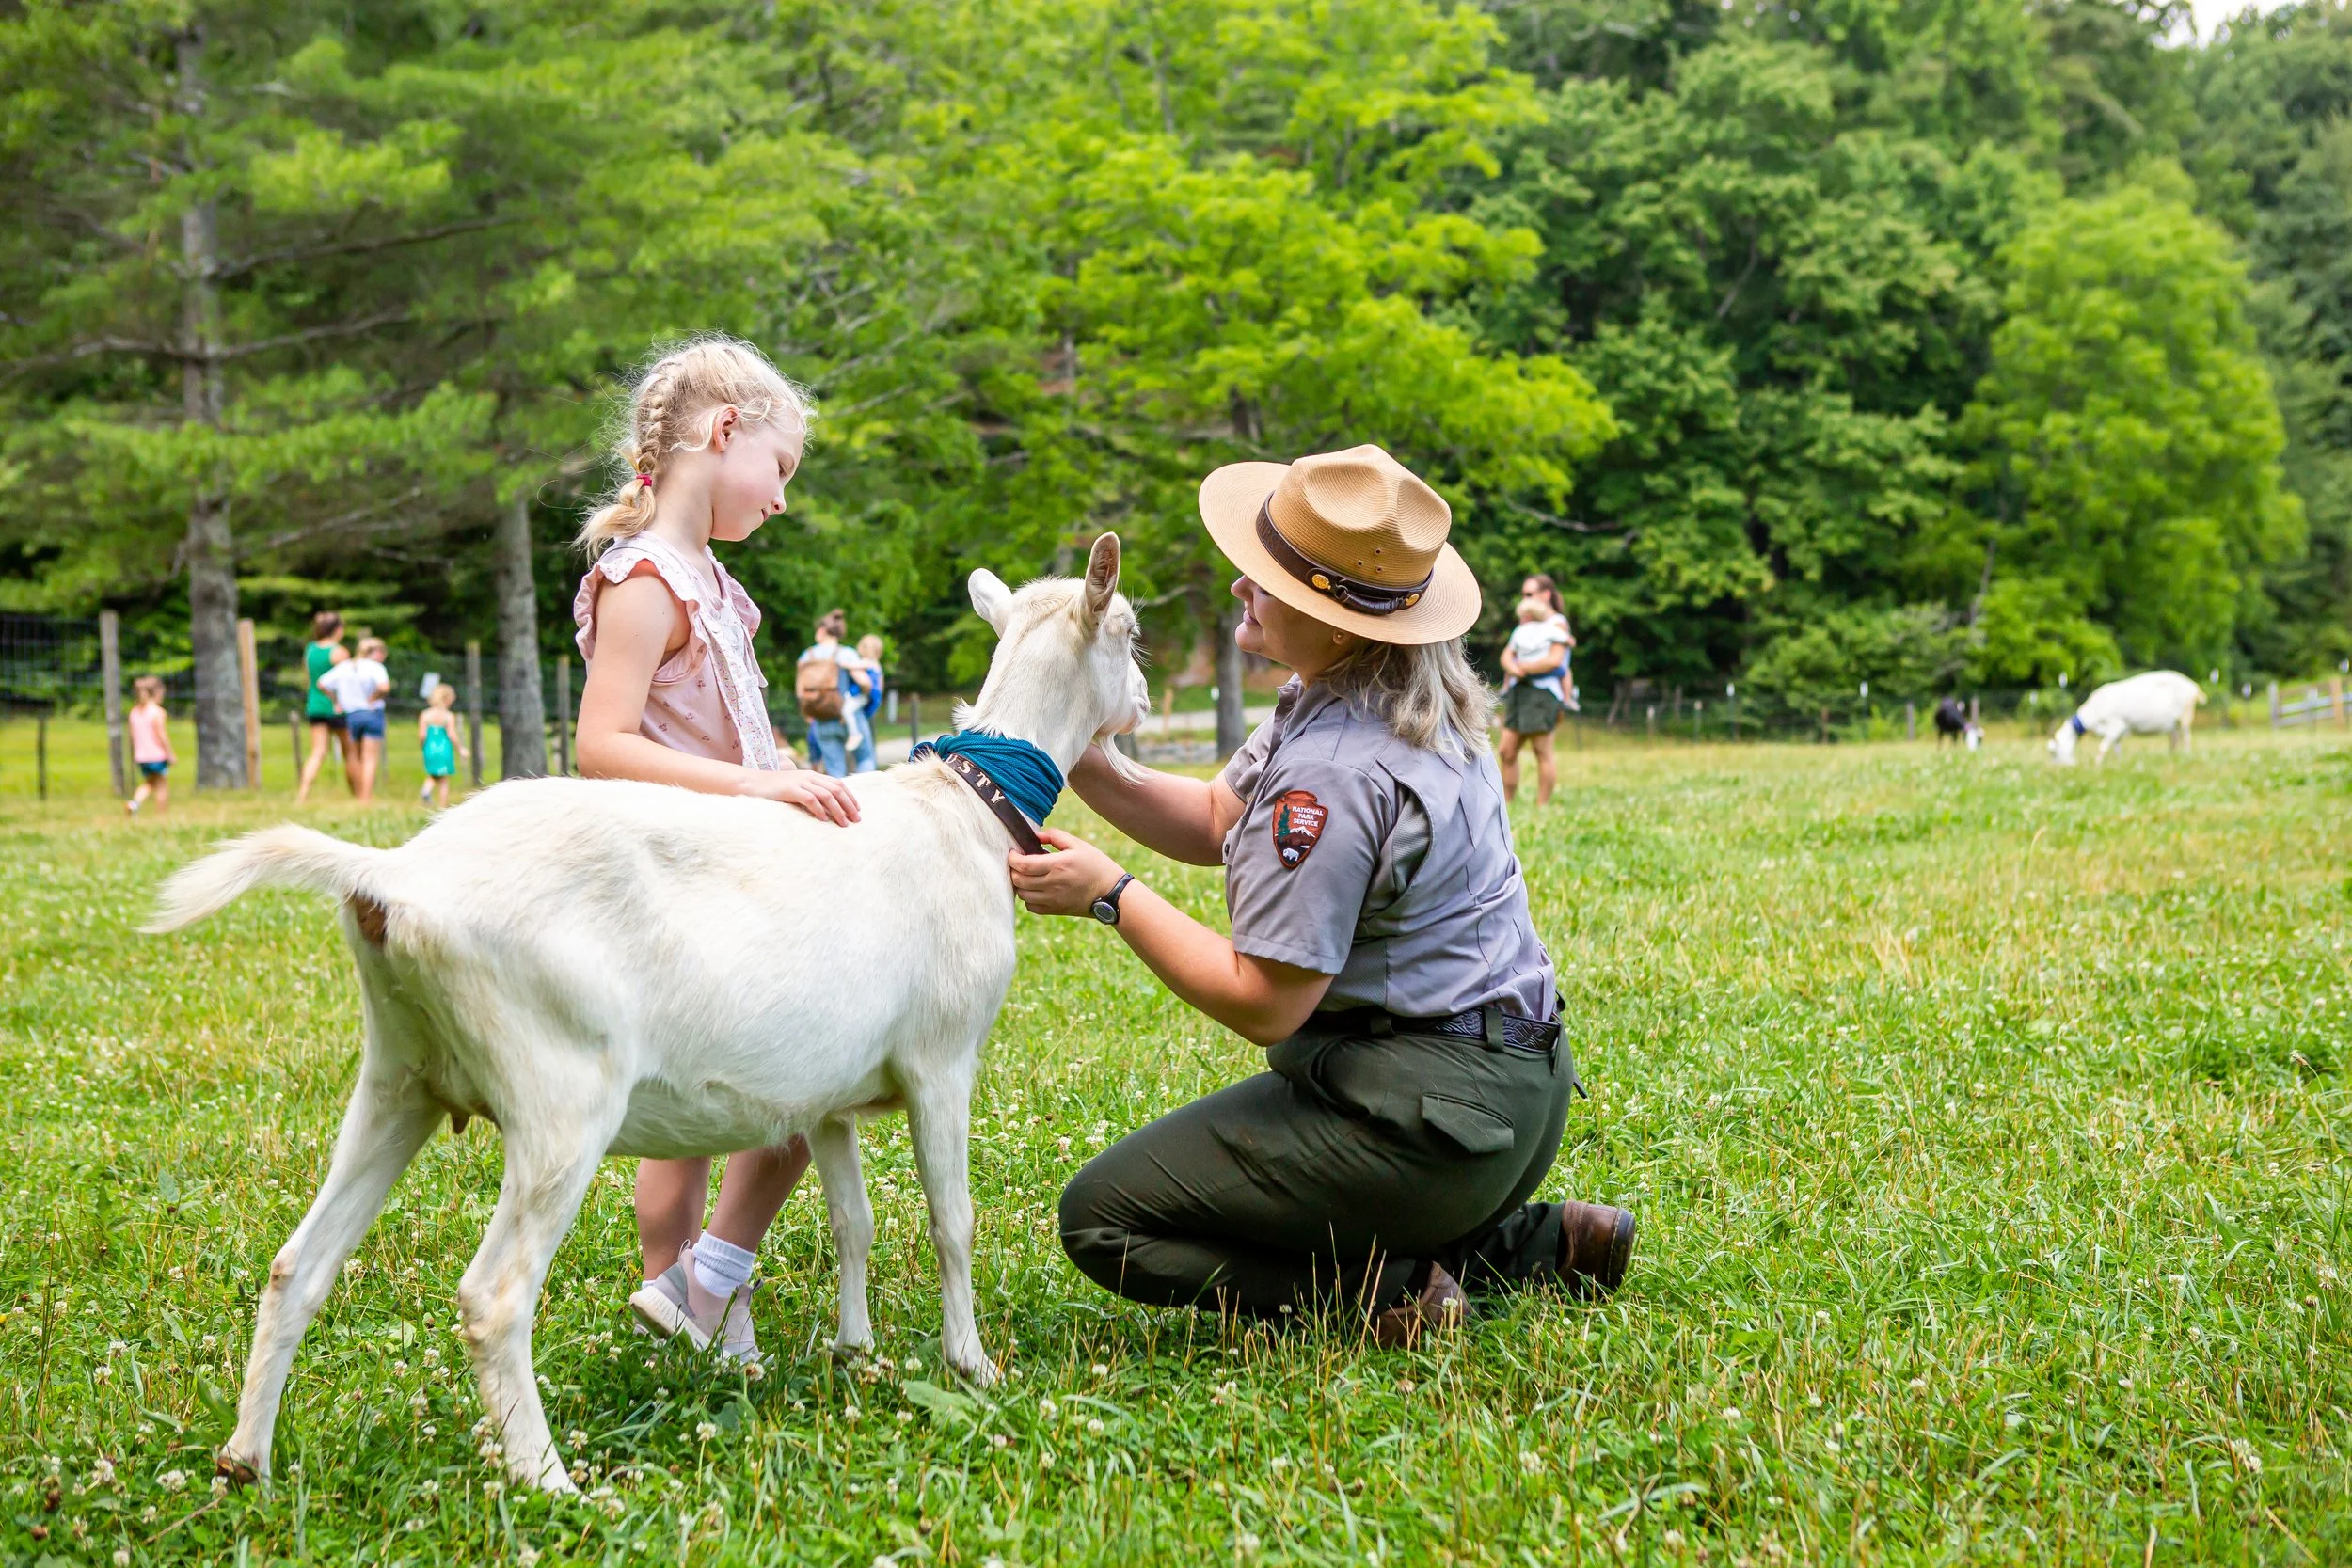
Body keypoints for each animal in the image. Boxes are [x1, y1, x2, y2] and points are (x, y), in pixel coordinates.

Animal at [145, 536, 1149, 1494]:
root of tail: (391, 875)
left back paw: (245, 1461)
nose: (1140, 700)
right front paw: (972, 1366)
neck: (968, 815)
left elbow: (852, 1222)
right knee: (494, 1296)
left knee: (296, 1264)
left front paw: (854, 1352)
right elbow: (953, 1220)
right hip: (560, 1094)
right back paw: (551, 1481)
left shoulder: (830, 1093)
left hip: (400, 1071)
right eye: (1132, 630)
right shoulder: (942, 1058)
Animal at [2047, 669, 2204, 765]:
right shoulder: (2117, 732)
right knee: (2174, 739)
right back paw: (2171, 757)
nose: (2060, 767)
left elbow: (2102, 748)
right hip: (2172, 723)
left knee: (2186, 738)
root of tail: (2194, 687)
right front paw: (2119, 765)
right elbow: (2117, 750)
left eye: (2055, 752)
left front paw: (2097, 766)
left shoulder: (2115, 726)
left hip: (2185, 715)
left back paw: (2186, 756)